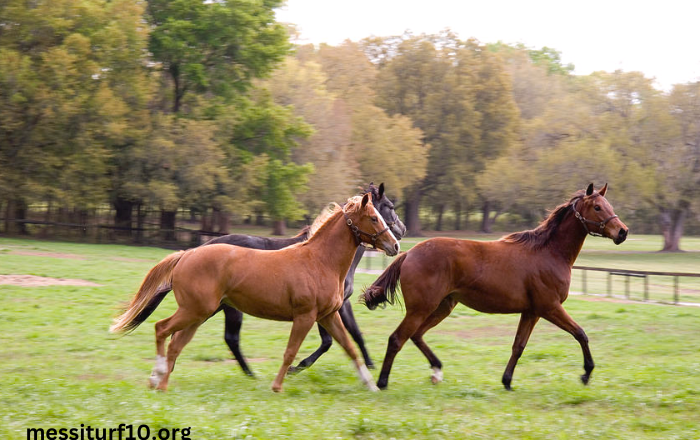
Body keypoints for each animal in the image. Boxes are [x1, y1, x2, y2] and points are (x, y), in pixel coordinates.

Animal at [113, 194, 400, 394]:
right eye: (375, 217)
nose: (396, 244)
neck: (319, 261)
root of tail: (187, 254)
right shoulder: (305, 316)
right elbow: (291, 352)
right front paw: (277, 386)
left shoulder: (328, 315)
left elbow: (349, 346)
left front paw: (371, 385)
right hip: (195, 311)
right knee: (162, 329)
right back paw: (159, 378)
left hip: (199, 314)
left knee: (176, 343)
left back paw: (160, 381)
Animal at [360, 184, 628, 390]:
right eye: (597, 207)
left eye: (609, 205)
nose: (623, 232)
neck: (549, 253)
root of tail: (409, 253)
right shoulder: (549, 308)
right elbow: (581, 333)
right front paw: (586, 373)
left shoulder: (531, 312)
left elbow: (518, 346)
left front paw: (507, 381)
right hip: (421, 308)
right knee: (397, 338)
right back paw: (382, 382)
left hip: (442, 306)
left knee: (415, 335)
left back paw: (436, 371)